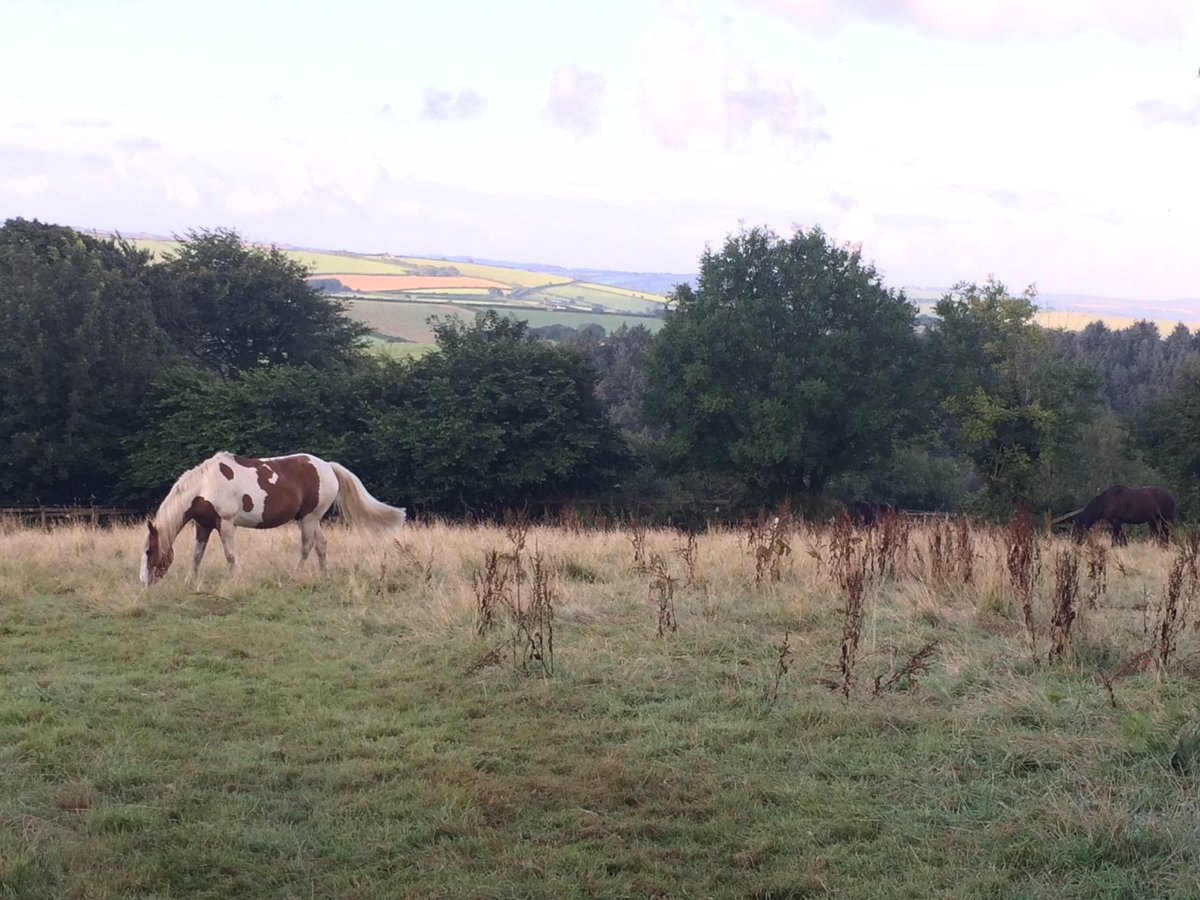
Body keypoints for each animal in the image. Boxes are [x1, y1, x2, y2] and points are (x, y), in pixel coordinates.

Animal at [140, 451, 406, 584]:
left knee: (306, 547)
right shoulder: (204, 525)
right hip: (312, 519)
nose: (144, 582)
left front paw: (235, 581)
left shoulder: (226, 524)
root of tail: (328, 466)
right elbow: (196, 555)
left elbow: (230, 555)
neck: (206, 485)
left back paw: (294, 577)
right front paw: (190, 581)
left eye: (149, 551)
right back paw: (324, 576)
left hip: (309, 519)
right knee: (321, 545)